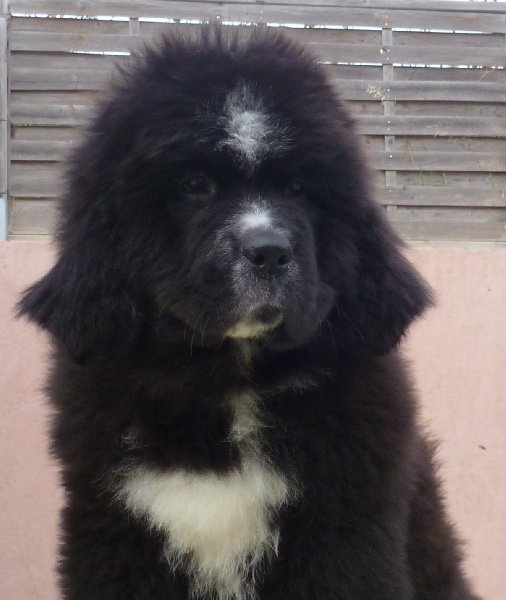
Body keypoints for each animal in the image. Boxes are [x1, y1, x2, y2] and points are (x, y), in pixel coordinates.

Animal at [19, 25, 480, 600]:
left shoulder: (343, 532)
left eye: (299, 189)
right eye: (194, 185)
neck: (227, 384)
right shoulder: (116, 530)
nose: (270, 252)